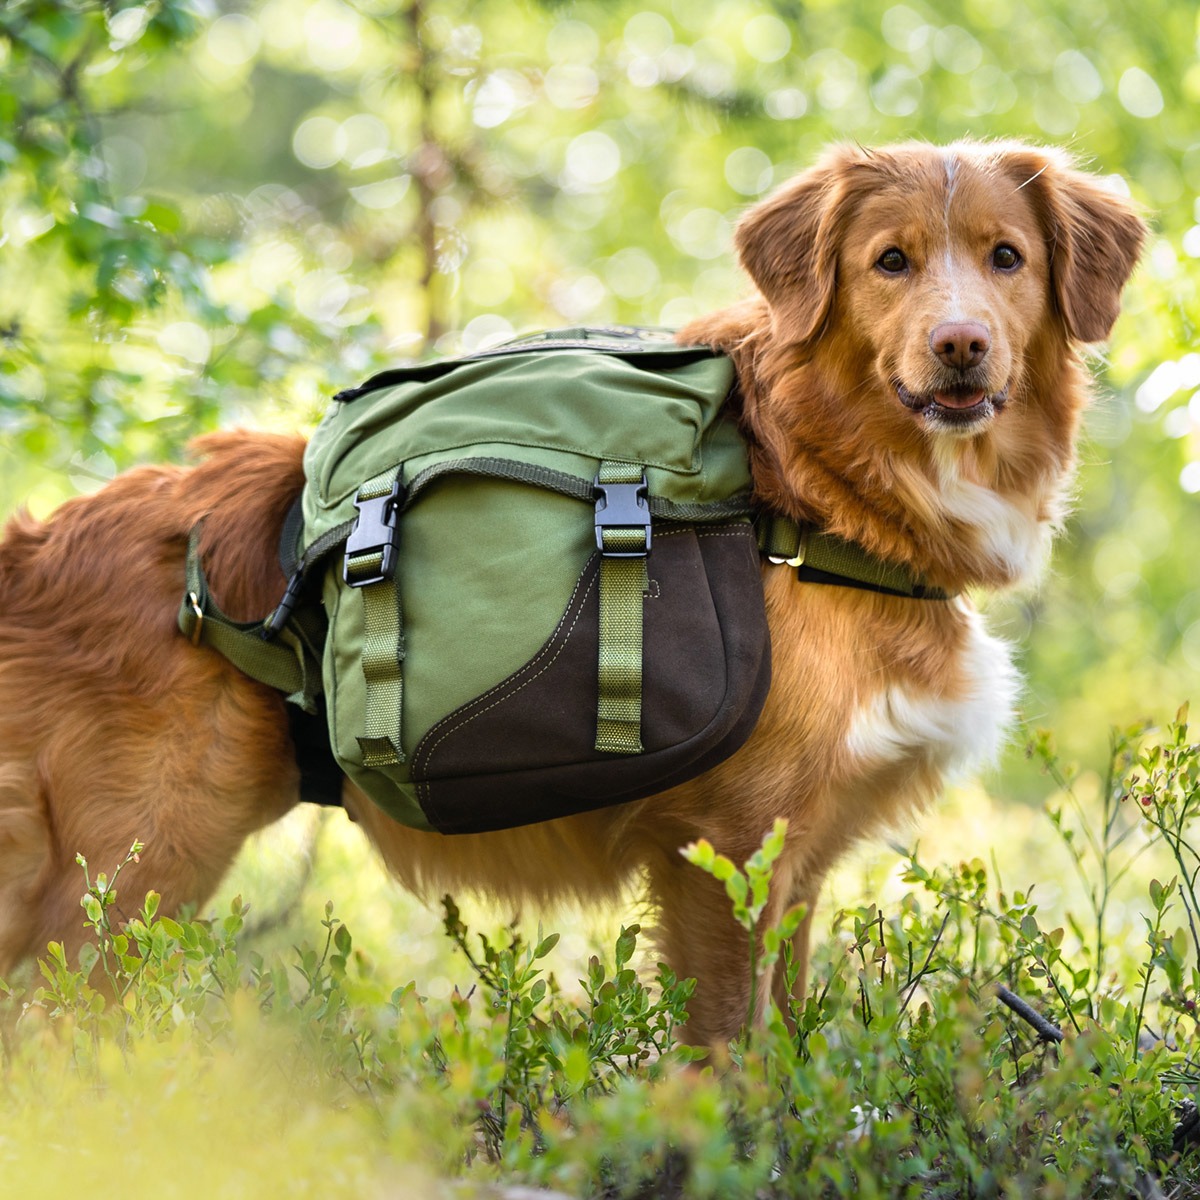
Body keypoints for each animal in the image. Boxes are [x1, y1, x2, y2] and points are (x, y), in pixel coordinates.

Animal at [0, 140, 1142, 1046]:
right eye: (890, 262)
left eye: (1007, 258)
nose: (961, 347)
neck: (811, 492)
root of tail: (39, 546)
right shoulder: (721, 848)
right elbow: (730, 1051)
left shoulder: (797, 861)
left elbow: (785, 1039)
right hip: (124, 884)